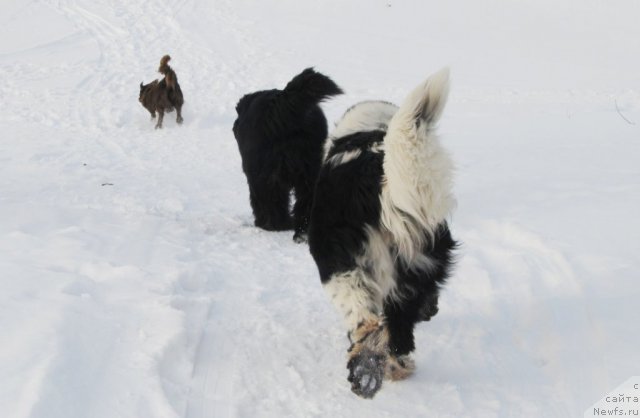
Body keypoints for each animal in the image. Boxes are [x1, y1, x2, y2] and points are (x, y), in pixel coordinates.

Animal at [230, 68, 340, 242]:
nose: (234, 125)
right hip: (310, 169)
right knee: (306, 201)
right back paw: (302, 231)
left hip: (264, 174)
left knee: (270, 201)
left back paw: (273, 224)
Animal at [308, 68, 456, 398]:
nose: (434, 311)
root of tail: (374, 168)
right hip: (419, 259)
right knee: (392, 328)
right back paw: (381, 368)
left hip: (340, 262)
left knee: (371, 322)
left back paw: (371, 366)